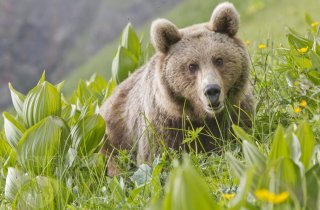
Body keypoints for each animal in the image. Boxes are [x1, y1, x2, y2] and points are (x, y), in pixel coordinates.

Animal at [100, 2, 255, 176]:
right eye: (192, 65)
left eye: (219, 59)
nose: (212, 91)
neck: (201, 117)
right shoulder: (164, 128)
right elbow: (156, 157)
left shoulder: (236, 112)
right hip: (111, 137)